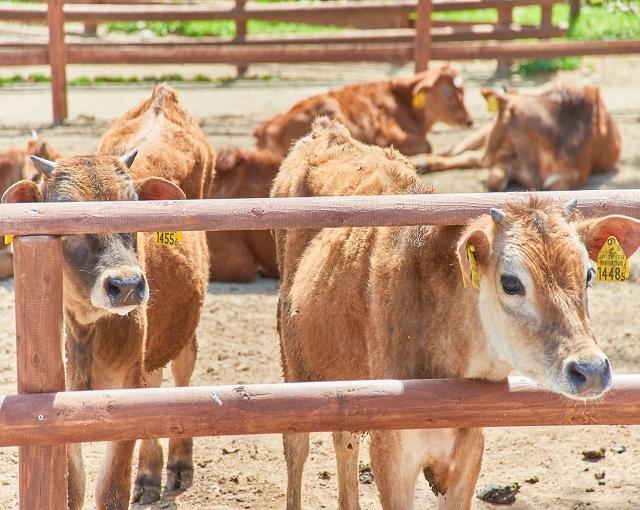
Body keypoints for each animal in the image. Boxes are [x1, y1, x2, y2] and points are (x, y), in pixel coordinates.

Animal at [3, 88, 211, 510]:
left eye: (134, 211)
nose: (127, 285)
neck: (84, 330)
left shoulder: (126, 386)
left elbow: (111, 488)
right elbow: (73, 487)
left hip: (183, 334)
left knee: (181, 376)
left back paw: (178, 464)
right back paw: (148, 474)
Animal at [254, 64, 470, 158]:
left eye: (463, 92)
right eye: (448, 94)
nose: (469, 120)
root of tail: (265, 128)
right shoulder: (389, 134)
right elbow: (427, 145)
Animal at [272, 115, 640, 510]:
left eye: (588, 274)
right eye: (511, 282)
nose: (591, 370)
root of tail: (327, 130)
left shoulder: (469, 449)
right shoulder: (392, 453)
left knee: (345, 443)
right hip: (293, 369)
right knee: (297, 449)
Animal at [416, 82, 620, 192]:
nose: (487, 157)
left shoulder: (576, 174)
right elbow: (494, 181)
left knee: (468, 157)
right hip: (479, 136)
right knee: (456, 151)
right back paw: (421, 160)